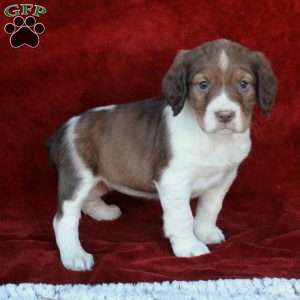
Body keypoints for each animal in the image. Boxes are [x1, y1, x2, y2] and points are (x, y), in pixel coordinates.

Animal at [47, 38, 276, 270]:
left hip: (101, 179)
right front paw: (189, 247)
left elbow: (210, 208)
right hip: (79, 178)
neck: (214, 139)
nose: (225, 115)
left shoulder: (223, 179)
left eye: (243, 84)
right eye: (203, 84)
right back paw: (74, 255)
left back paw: (104, 212)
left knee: (89, 199)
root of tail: (64, 129)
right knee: (64, 219)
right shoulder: (173, 181)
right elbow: (183, 218)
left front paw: (206, 232)